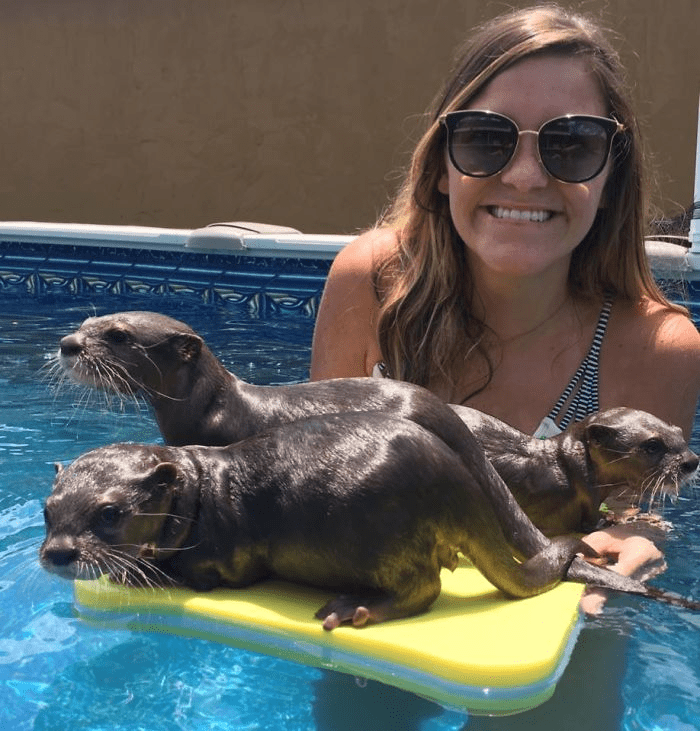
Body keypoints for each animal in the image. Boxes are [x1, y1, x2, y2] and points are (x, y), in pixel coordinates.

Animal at [39, 412, 696, 628]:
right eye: (48, 512)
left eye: (110, 514)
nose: (56, 553)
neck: (203, 493)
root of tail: (455, 480)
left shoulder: (225, 557)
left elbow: (194, 575)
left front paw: (131, 570)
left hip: (374, 533)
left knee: (424, 589)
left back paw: (356, 609)